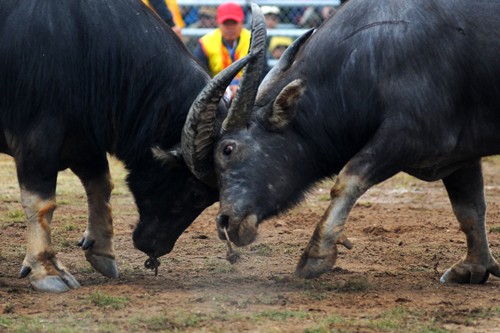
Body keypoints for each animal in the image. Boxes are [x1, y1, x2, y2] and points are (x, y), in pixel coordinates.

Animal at [0, 0, 254, 290]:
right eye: (196, 194)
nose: (156, 247)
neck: (85, 46)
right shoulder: (36, 138)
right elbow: (41, 203)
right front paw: (46, 271)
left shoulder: (84, 140)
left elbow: (101, 185)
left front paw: (102, 252)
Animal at [183, 0, 500, 284]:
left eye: (228, 149)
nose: (224, 222)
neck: (375, 58)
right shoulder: (459, 156)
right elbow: (470, 209)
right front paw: (473, 267)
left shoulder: (410, 136)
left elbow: (348, 179)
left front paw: (315, 255)